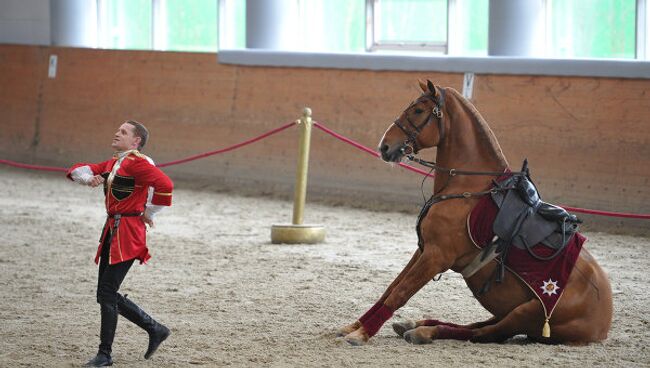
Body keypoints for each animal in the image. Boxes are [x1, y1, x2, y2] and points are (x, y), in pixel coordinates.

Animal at [336, 80, 612, 344]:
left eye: (418, 110)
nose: (384, 147)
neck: (466, 187)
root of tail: (604, 321)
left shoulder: (437, 256)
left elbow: (399, 294)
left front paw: (361, 334)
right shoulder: (424, 250)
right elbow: (390, 289)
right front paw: (354, 326)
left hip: (525, 314)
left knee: (485, 333)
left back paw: (425, 332)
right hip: (508, 311)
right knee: (478, 326)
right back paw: (417, 324)